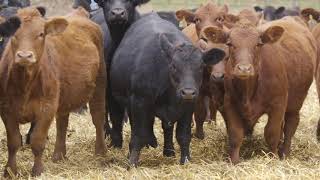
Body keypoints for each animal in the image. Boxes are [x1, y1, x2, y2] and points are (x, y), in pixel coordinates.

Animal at [0, 6, 107, 176]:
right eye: (14, 35)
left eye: (41, 34)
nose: (24, 56)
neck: (25, 84)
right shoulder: (6, 110)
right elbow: (14, 142)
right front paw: (10, 171)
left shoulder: (47, 108)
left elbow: (37, 140)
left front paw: (37, 171)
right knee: (62, 123)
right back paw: (59, 155)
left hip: (99, 85)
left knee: (98, 117)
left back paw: (100, 152)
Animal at [110, 13, 225, 166]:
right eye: (174, 66)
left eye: (201, 66)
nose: (188, 92)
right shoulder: (139, 102)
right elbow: (138, 134)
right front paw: (132, 162)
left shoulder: (189, 105)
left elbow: (183, 135)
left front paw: (185, 160)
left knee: (167, 127)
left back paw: (169, 151)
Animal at [204, 16, 316, 163]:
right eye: (230, 44)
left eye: (258, 44)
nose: (244, 68)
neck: (248, 91)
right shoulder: (230, 103)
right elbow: (235, 134)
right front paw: (234, 161)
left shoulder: (278, 105)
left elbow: (271, 133)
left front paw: (273, 158)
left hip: (295, 102)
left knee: (290, 125)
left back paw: (284, 153)